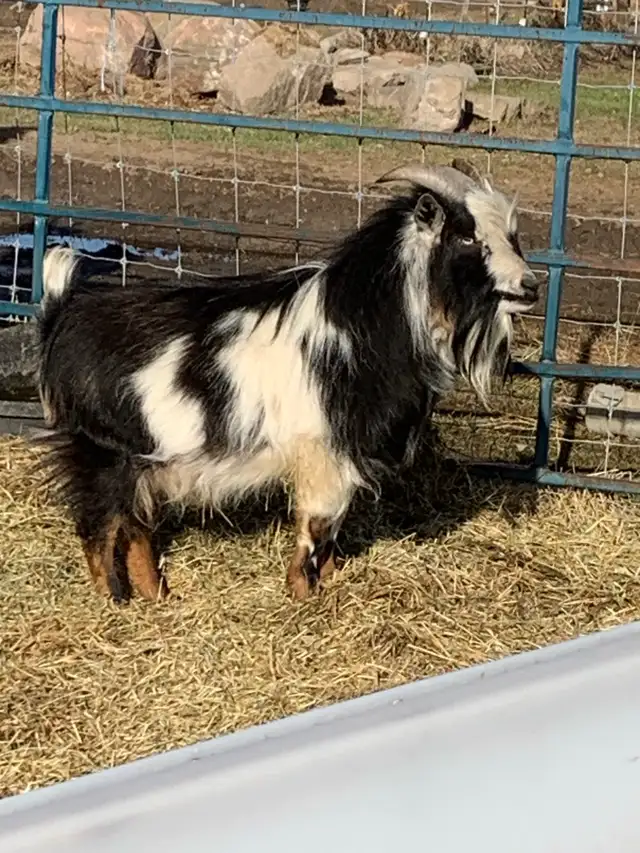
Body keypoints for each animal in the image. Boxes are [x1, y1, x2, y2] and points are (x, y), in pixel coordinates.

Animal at [37, 159, 539, 603]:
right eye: (467, 235)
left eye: (512, 234)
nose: (530, 286)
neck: (366, 323)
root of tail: (64, 313)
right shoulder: (323, 452)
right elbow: (317, 526)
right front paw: (302, 593)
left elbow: (333, 531)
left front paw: (333, 580)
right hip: (103, 453)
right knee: (98, 528)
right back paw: (115, 601)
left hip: (144, 461)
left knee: (136, 527)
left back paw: (158, 596)